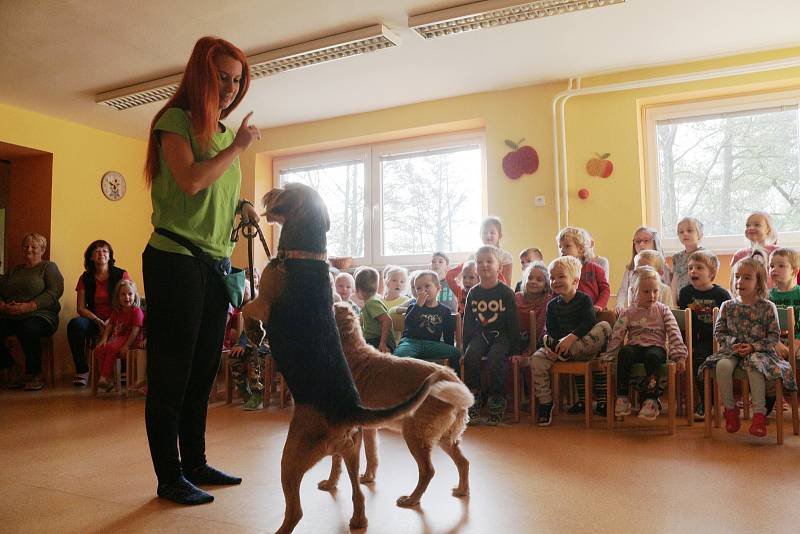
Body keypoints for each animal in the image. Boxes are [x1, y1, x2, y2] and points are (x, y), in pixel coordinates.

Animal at [244, 182, 444, 532]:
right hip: (351, 450)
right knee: (356, 492)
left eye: (286, 190)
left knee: (295, 511)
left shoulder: (261, 303)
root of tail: (349, 409)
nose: (269, 192)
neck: (305, 255)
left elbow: (244, 309)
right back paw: (358, 518)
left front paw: (253, 332)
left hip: (291, 458)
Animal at [316, 304, 472, 508]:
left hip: (415, 435)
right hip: (444, 438)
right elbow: (372, 455)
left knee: (428, 471)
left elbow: (336, 461)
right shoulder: (368, 429)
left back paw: (412, 499)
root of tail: (453, 378)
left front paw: (330, 484)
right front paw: (368, 478)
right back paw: (462, 490)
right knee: (464, 463)